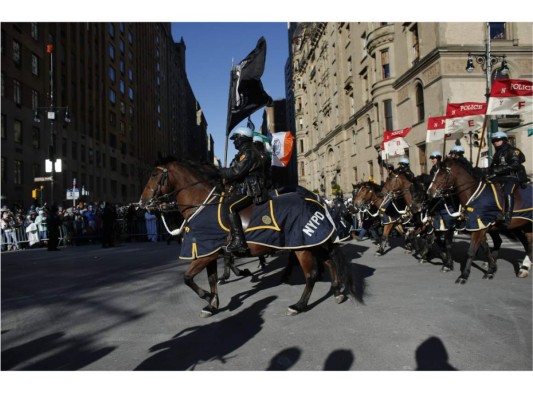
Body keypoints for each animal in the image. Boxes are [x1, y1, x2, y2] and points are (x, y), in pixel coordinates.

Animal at [137, 158, 364, 318]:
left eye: (154, 175)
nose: (143, 202)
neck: (201, 204)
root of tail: (315, 200)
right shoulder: (209, 252)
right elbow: (210, 279)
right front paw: (212, 304)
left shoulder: (206, 253)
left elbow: (187, 277)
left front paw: (208, 297)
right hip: (313, 241)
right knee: (329, 261)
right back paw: (337, 291)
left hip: (302, 245)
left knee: (312, 274)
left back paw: (299, 305)